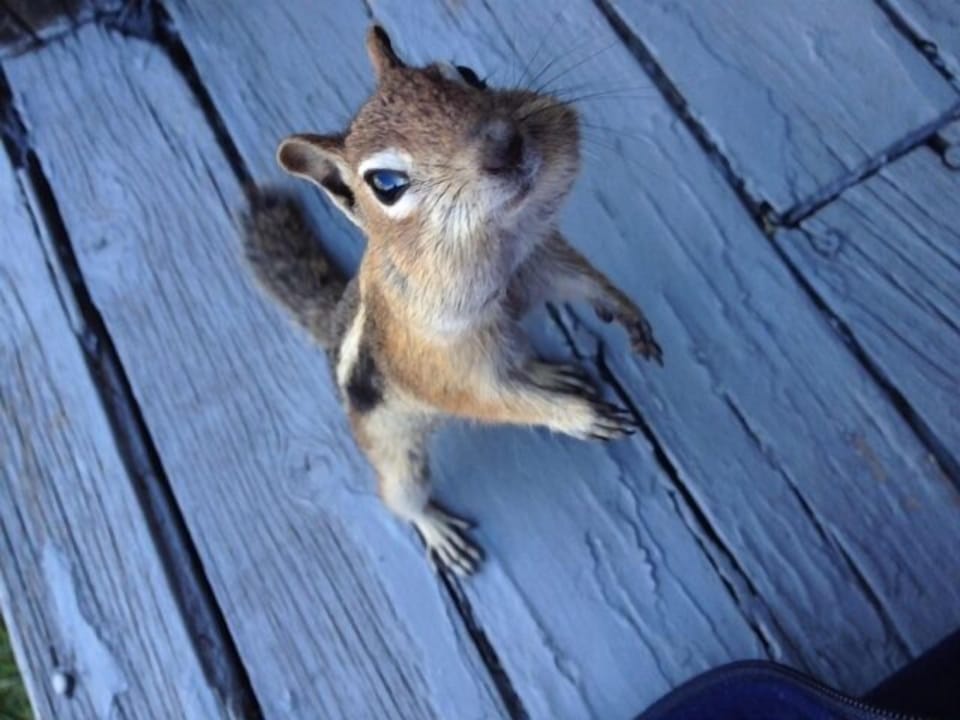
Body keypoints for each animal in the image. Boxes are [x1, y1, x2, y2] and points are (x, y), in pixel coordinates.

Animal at [243, 26, 662, 575]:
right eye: (386, 184)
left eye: (467, 73)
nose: (505, 143)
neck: (501, 246)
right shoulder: (441, 364)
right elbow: (490, 399)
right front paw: (577, 416)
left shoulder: (538, 262)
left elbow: (583, 280)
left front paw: (628, 312)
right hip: (390, 447)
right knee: (399, 494)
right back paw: (436, 527)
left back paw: (550, 372)